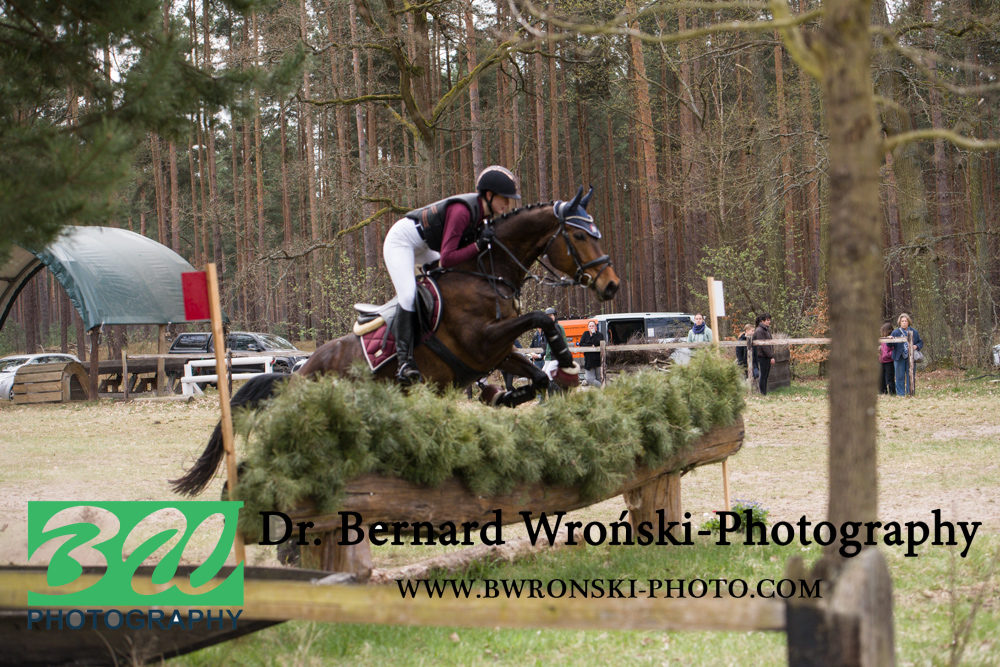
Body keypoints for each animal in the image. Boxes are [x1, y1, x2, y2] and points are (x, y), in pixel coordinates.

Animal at [171, 186, 620, 497]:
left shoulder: (496, 352)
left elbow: (535, 373)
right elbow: (542, 317)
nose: (611, 285)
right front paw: (566, 361)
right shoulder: (481, 341)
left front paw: (521, 390)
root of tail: (299, 374)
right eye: (581, 238)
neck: (486, 273)